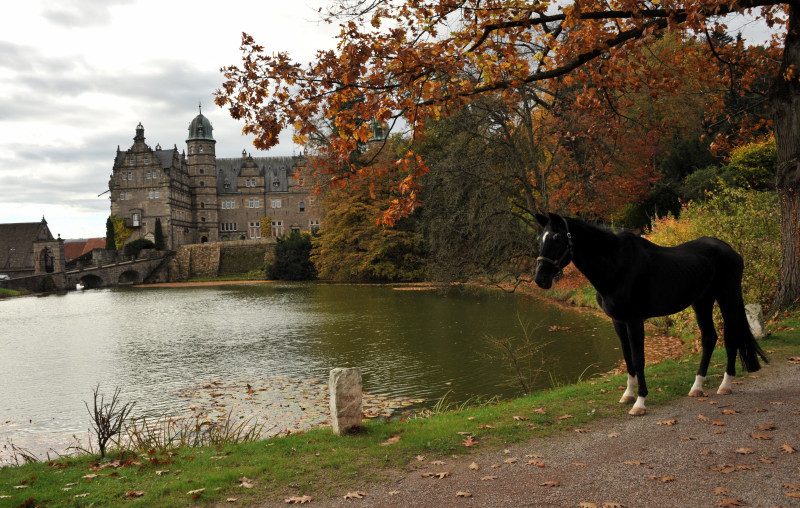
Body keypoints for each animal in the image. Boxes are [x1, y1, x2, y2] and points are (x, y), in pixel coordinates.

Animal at [536, 212, 764, 414]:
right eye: (540, 238)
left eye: (556, 238)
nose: (540, 278)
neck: (616, 266)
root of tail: (729, 249)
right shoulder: (618, 321)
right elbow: (627, 358)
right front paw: (628, 395)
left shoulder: (635, 321)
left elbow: (638, 359)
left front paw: (640, 402)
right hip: (702, 302)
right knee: (709, 338)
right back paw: (697, 387)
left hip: (727, 298)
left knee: (730, 337)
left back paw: (725, 385)